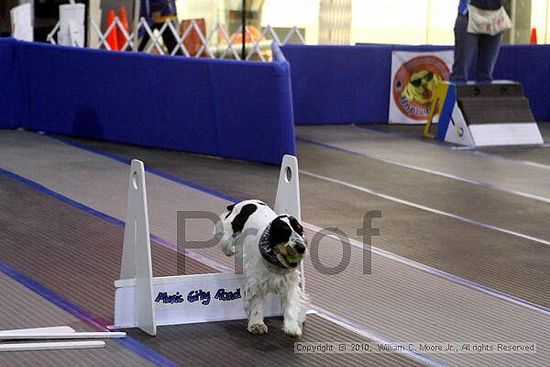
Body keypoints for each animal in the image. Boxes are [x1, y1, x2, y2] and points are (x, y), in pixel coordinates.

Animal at [216, 200, 310, 338]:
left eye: (300, 230)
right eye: (284, 233)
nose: (301, 248)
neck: (276, 263)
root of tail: (243, 202)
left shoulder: (289, 283)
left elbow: (291, 305)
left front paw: (292, 328)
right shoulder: (256, 283)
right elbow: (256, 303)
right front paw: (257, 325)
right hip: (227, 237)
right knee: (226, 245)